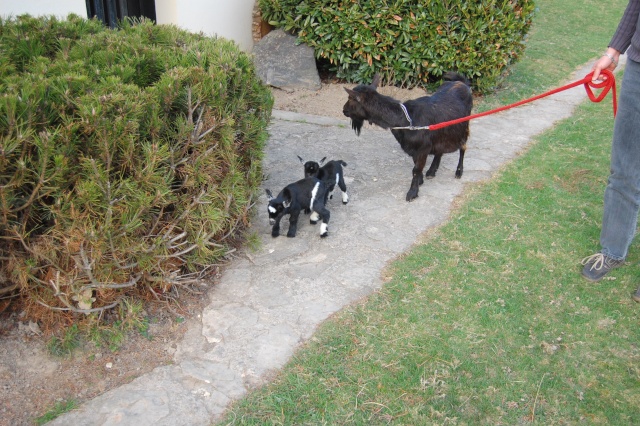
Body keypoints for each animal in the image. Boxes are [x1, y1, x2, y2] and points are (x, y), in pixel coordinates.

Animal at [342, 72, 472, 201]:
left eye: (350, 99)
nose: (343, 110)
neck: (405, 118)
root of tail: (462, 83)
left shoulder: (423, 148)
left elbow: (416, 169)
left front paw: (412, 193)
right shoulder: (415, 148)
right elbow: (416, 166)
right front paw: (420, 181)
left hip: (464, 127)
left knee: (463, 148)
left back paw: (459, 172)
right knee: (440, 150)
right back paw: (431, 171)